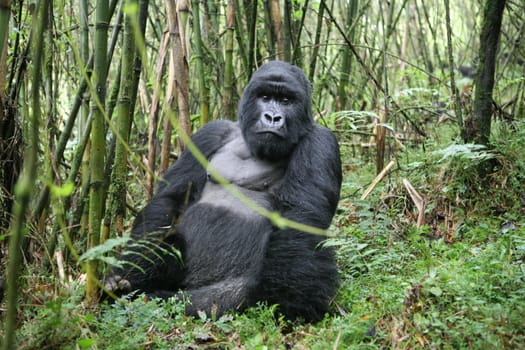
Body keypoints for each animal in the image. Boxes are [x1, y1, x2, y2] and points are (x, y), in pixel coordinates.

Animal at [105, 60, 344, 322]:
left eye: (286, 101)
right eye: (265, 97)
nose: (272, 117)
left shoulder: (320, 142)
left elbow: (300, 217)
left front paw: (291, 302)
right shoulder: (210, 133)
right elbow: (170, 198)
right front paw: (133, 266)